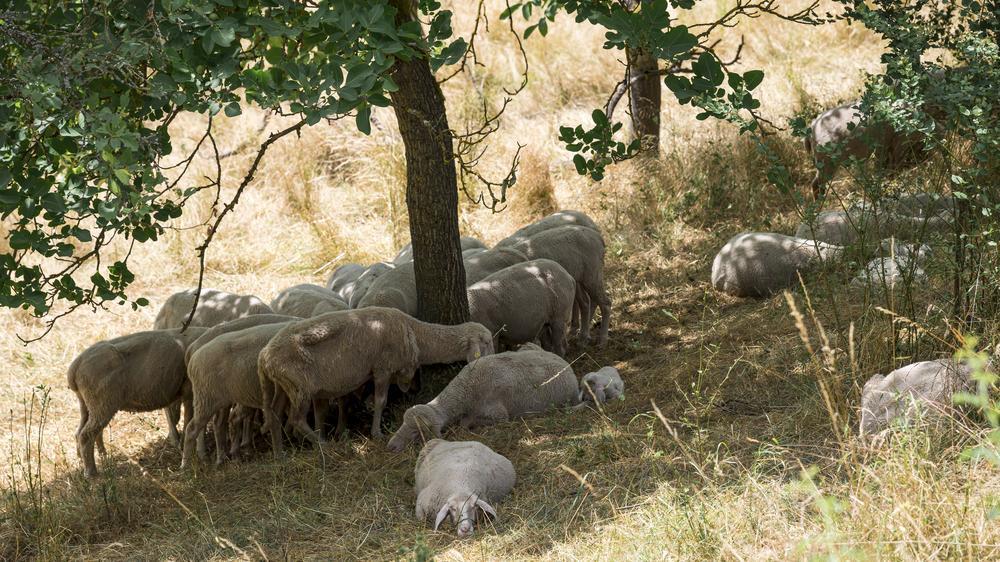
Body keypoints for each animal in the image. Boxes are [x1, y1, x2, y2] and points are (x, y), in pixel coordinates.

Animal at [68, 327, 207, 478]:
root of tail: (75, 367)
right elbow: (190, 423)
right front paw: (192, 453)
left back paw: (93, 459)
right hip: (102, 402)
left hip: (87, 403)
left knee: (81, 432)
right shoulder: (190, 391)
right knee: (86, 435)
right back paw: (92, 473)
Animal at [182, 321, 295, 468]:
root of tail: (192, 359)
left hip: (220, 398)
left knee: (219, 422)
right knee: (192, 429)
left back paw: (222, 458)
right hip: (205, 398)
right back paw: (186, 465)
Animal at [259, 308, 494, 455]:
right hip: (300, 388)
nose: (493, 358)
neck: (415, 332)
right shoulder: (383, 368)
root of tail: (265, 356)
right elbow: (380, 401)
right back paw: (325, 446)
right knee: (296, 419)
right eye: (486, 341)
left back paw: (279, 454)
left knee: (275, 414)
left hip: (282, 386)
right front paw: (377, 433)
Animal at [387, 347, 579, 452]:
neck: (466, 388)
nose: (391, 446)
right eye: (402, 423)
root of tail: (567, 365)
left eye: (416, 431)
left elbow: (464, 423)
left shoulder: (499, 415)